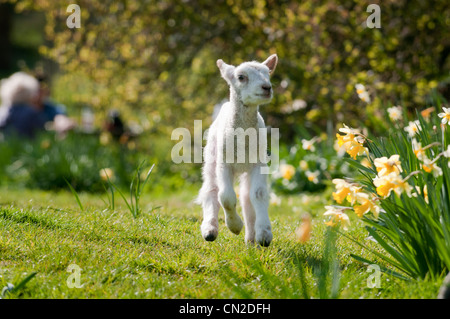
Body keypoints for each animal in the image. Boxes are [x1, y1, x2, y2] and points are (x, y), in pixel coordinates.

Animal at [197, 53, 278, 248]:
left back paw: (251, 239)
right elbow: (226, 197)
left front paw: (264, 234)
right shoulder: (224, 163)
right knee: (211, 189)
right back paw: (210, 230)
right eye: (241, 77)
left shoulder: (258, 163)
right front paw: (234, 226)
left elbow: (258, 194)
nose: (267, 87)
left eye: (268, 74)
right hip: (211, 155)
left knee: (246, 197)